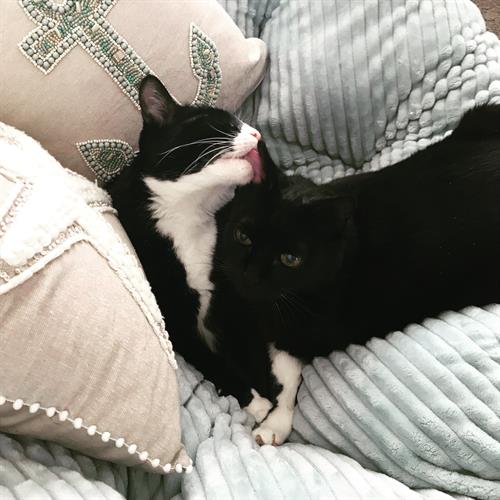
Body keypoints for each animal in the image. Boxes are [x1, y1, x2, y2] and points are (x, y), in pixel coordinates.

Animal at [107, 75, 266, 398]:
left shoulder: (224, 289)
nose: (256, 133)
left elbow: (236, 337)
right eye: (224, 123)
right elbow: (206, 357)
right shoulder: (174, 314)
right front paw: (251, 398)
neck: (187, 217)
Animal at [207, 104, 500, 445]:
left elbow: (288, 374)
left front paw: (275, 424)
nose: (250, 276)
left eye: (290, 259)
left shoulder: (309, 332)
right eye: (243, 236)